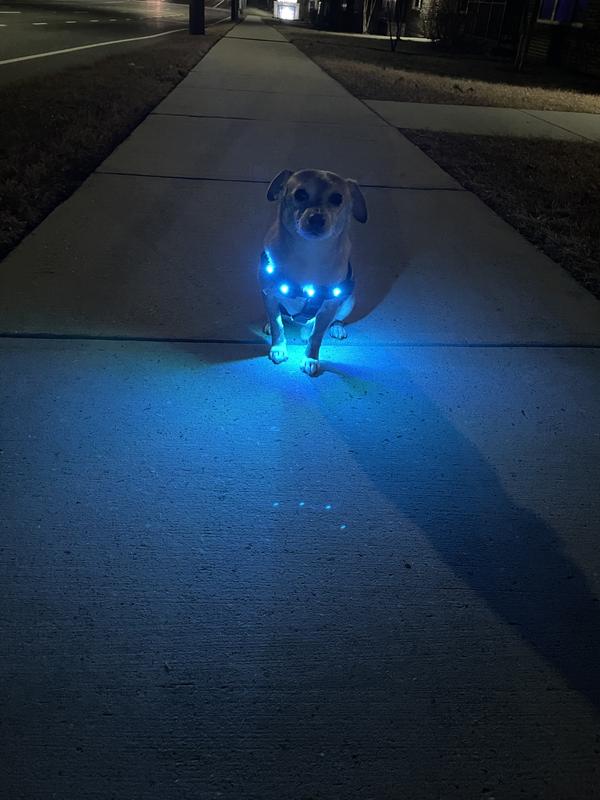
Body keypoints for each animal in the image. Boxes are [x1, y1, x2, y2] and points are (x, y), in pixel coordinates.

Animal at [260, 166, 368, 378]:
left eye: (337, 198)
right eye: (300, 194)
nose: (317, 218)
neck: (309, 252)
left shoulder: (330, 303)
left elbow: (316, 334)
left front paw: (310, 357)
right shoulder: (269, 294)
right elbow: (278, 326)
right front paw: (278, 347)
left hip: (349, 300)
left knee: (336, 319)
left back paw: (335, 328)